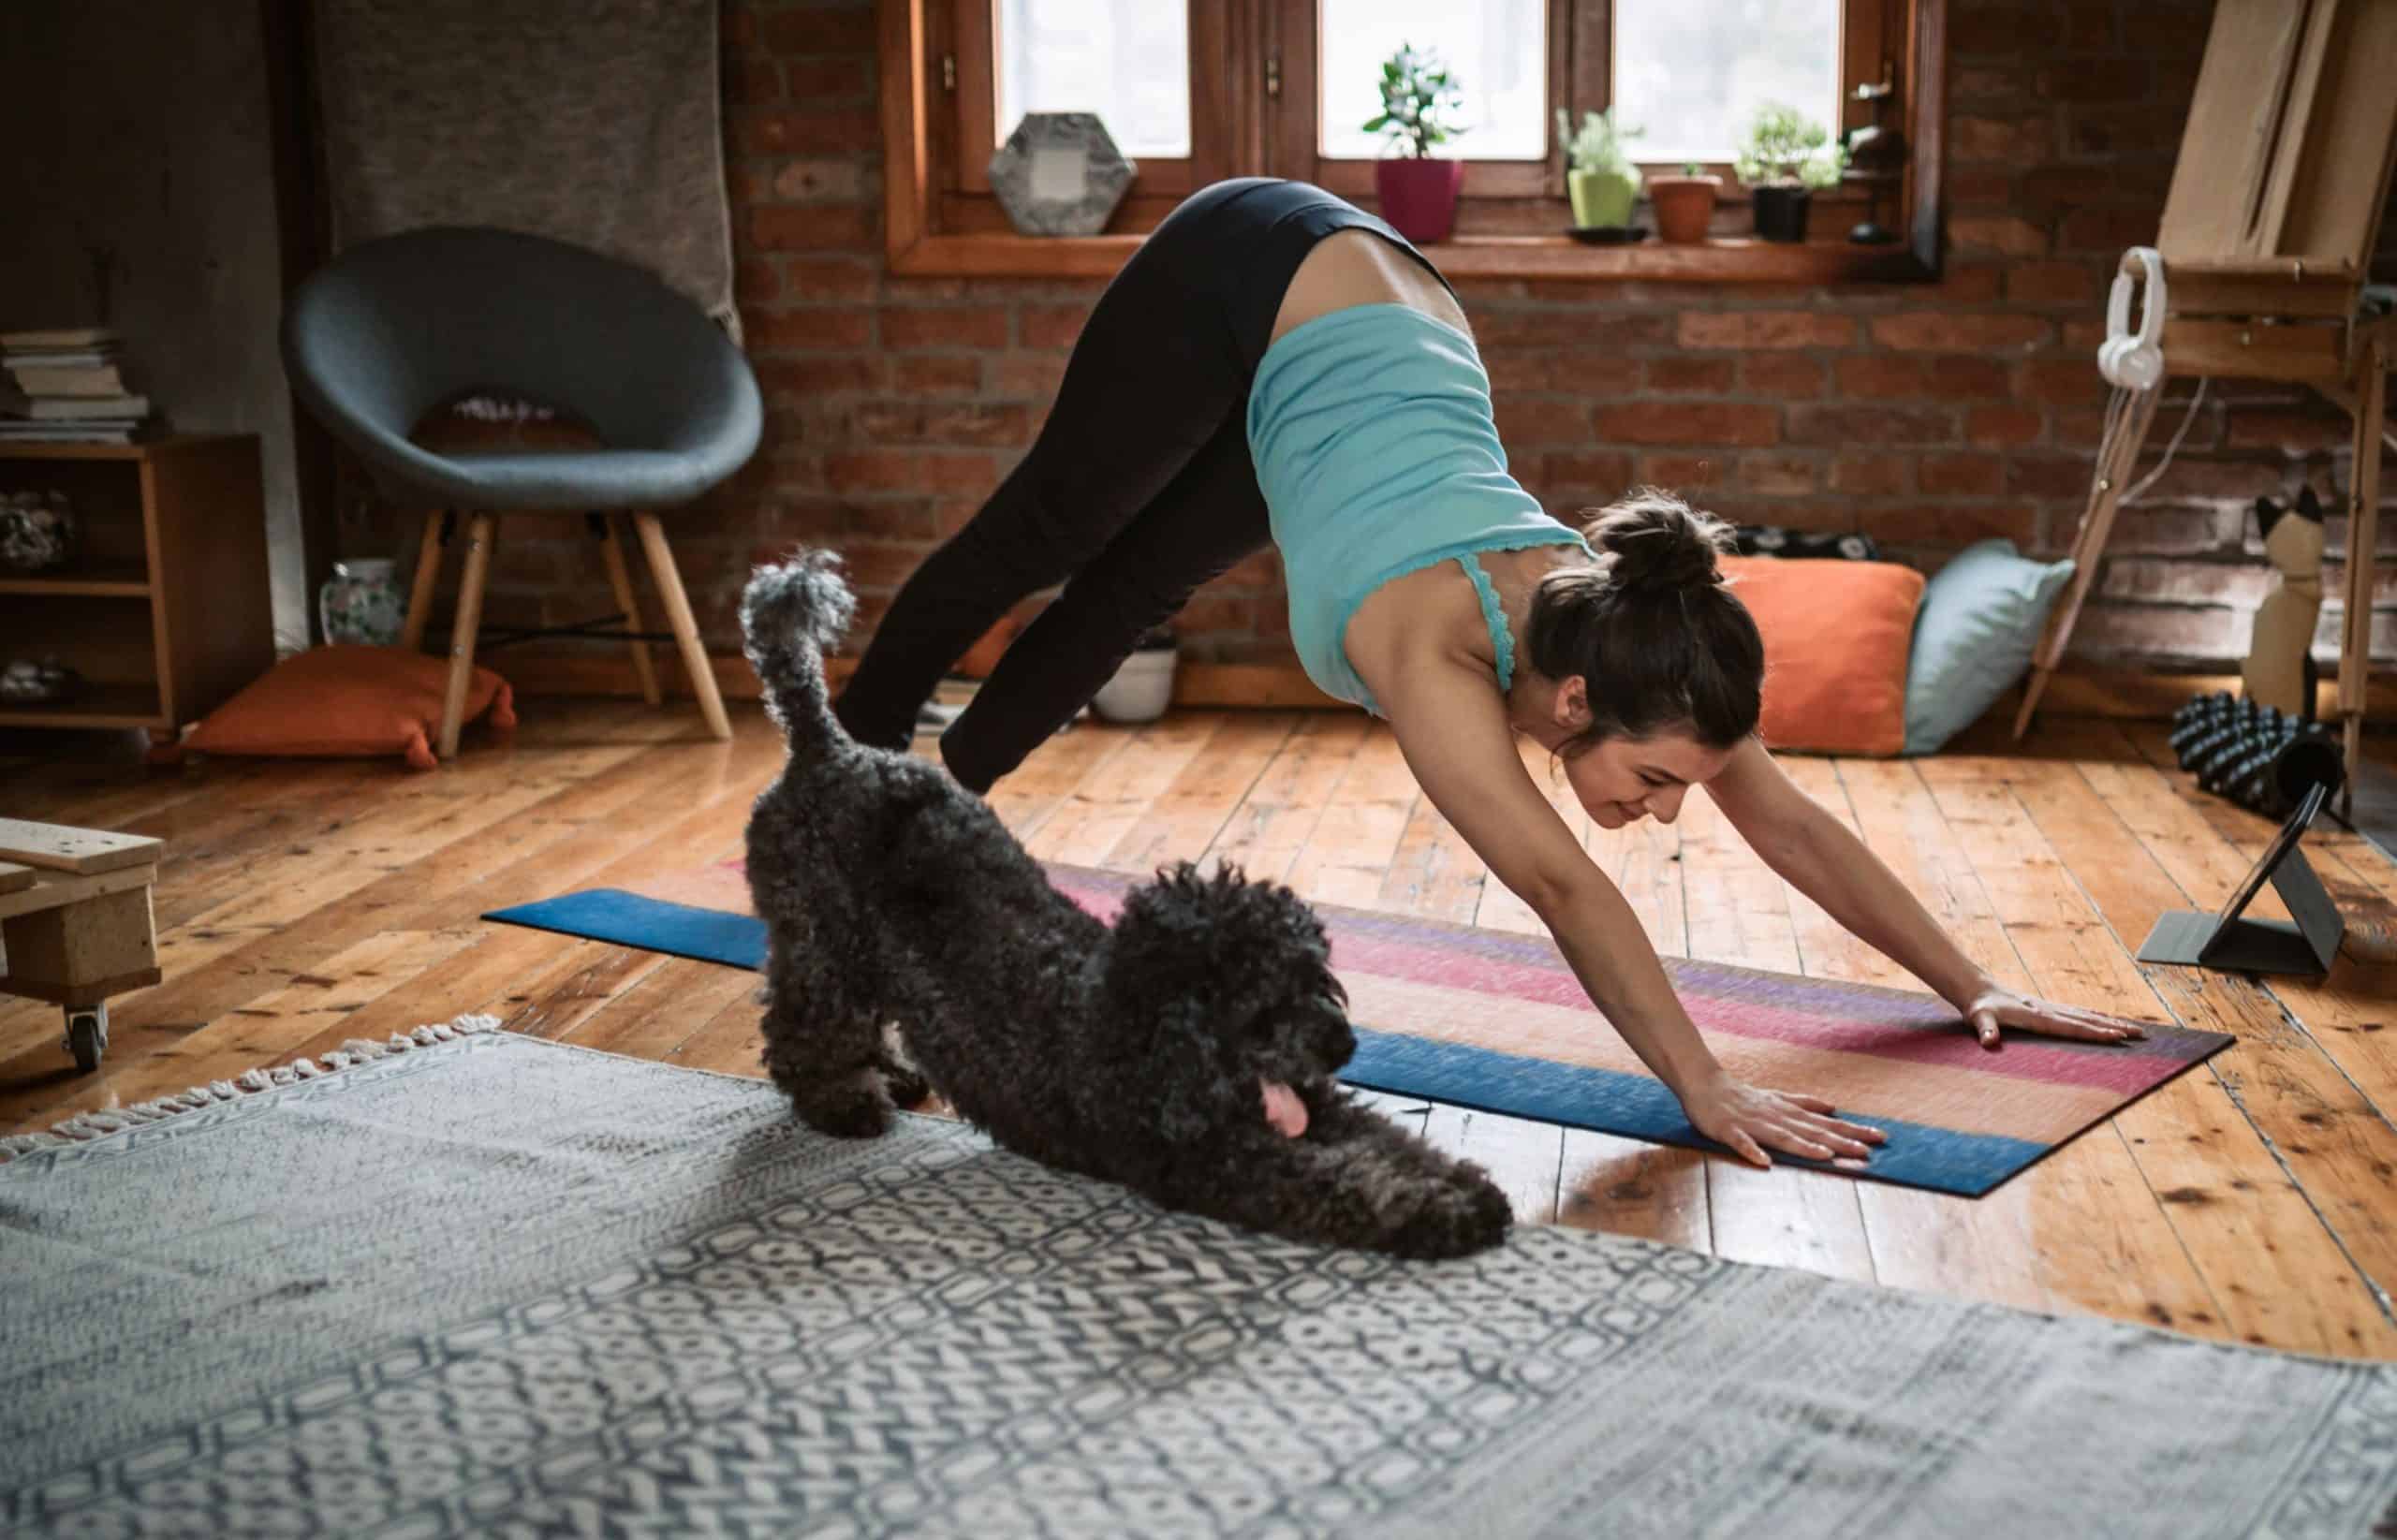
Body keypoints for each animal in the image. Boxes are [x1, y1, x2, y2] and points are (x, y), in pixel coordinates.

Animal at [738, 552, 1505, 1264]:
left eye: (1317, 977)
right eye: (1261, 1000)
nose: (1343, 1045)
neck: (1138, 1027)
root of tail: (826, 746)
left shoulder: (1314, 1104)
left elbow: (1388, 1139)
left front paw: (1463, 1183)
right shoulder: (1220, 1162)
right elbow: (1345, 1185)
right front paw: (1441, 1212)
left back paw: (892, 1074)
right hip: (820, 942)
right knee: (799, 1032)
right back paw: (844, 1102)